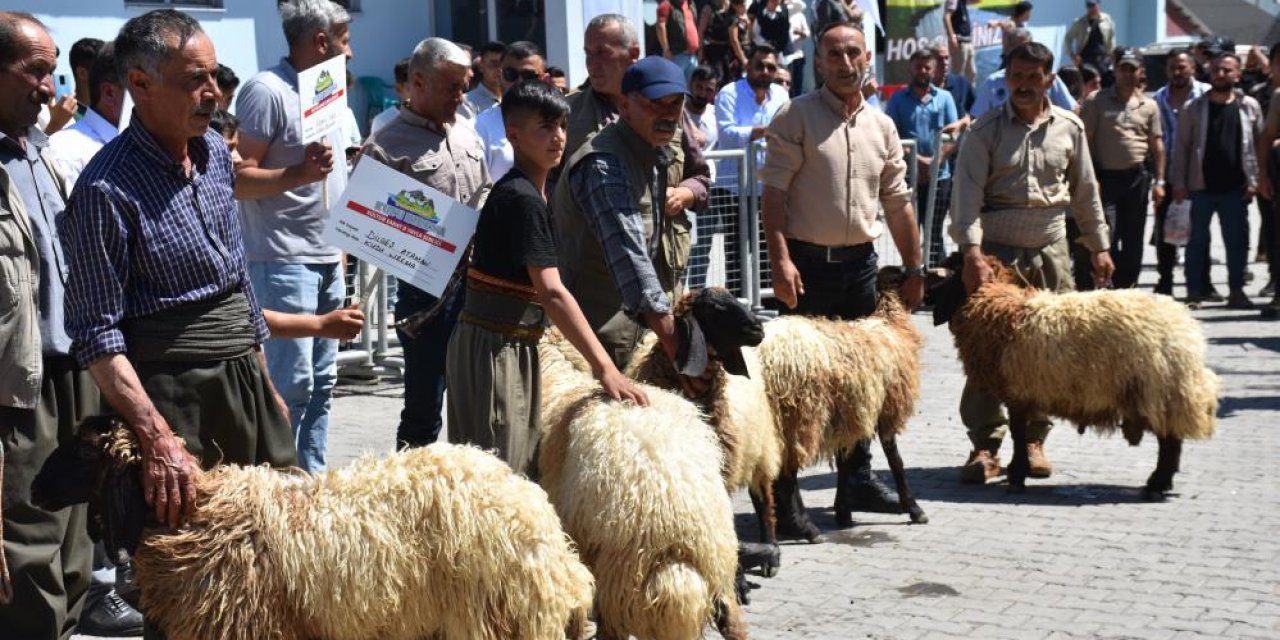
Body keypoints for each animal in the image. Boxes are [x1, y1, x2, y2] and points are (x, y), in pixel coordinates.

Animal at [535, 332, 747, 637]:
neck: (560, 383)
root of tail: (680, 524)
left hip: (619, 570)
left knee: (611, 629)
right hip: (716, 562)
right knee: (733, 620)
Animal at [931, 254, 1218, 494]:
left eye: (949, 276)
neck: (996, 307)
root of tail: (1186, 329)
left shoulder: (1017, 392)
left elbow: (1018, 434)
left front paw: (1017, 476)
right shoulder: (1024, 391)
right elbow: (1019, 432)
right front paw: (1018, 472)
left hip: (1158, 390)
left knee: (1169, 441)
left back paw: (1157, 484)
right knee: (1172, 440)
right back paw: (1162, 482)